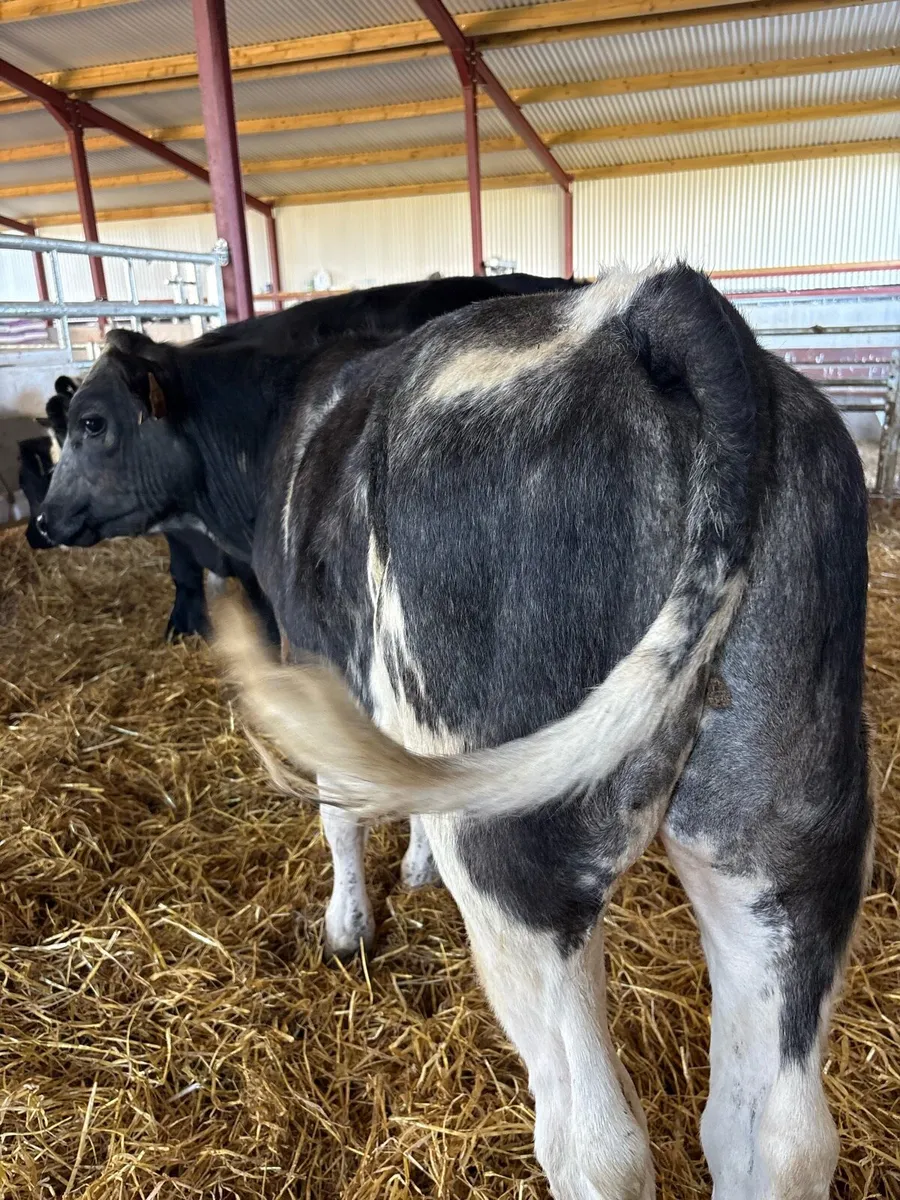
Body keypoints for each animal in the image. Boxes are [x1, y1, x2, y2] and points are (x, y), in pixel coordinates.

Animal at [35, 263, 871, 1199]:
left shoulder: (324, 663)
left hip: (521, 856)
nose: (42, 522)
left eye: (94, 423)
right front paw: (415, 868)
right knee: (780, 1137)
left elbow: (341, 813)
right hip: (785, 843)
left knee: (597, 1148)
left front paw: (348, 927)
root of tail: (639, 305)